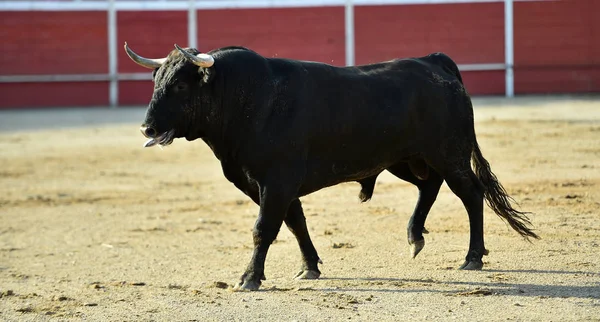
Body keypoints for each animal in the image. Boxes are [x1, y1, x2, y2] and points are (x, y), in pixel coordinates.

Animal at [123, 43, 540, 292]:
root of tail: (435, 61)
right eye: (157, 82)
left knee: (470, 193)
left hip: (448, 153)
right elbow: (295, 222)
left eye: (180, 86)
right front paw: (309, 267)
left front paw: (249, 278)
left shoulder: (276, 181)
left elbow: (263, 229)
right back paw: (414, 237)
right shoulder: (268, 184)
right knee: (429, 186)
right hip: (405, 159)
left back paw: (472, 257)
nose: (147, 128)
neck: (246, 99)